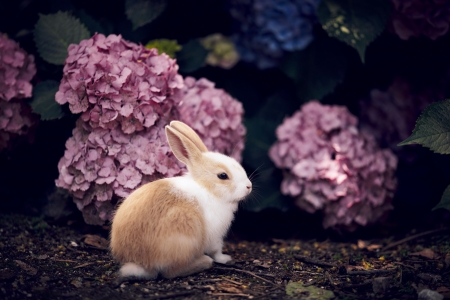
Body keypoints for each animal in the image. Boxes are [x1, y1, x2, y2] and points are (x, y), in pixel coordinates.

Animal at [107, 119, 251, 278]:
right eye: (223, 176)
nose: (249, 186)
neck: (207, 189)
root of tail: (141, 263)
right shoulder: (215, 237)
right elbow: (216, 251)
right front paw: (225, 259)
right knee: (171, 272)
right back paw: (204, 262)